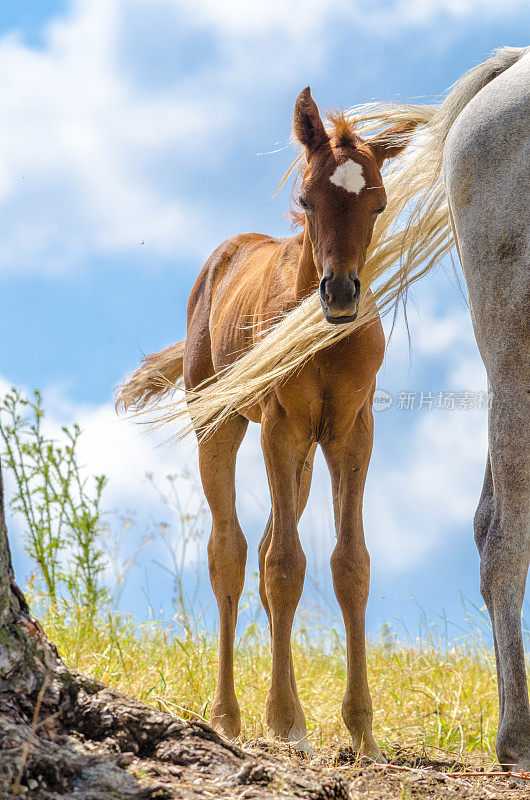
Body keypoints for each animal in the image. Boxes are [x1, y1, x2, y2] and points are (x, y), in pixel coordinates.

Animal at [122, 89, 408, 756]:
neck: (322, 340)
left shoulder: (352, 431)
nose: (340, 293)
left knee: (269, 546)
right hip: (221, 422)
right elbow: (284, 566)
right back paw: (227, 715)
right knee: (229, 552)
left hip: (301, 456)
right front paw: (284, 721)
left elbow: (348, 564)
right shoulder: (280, 424)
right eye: (306, 199)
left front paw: (361, 728)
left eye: (379, 202)